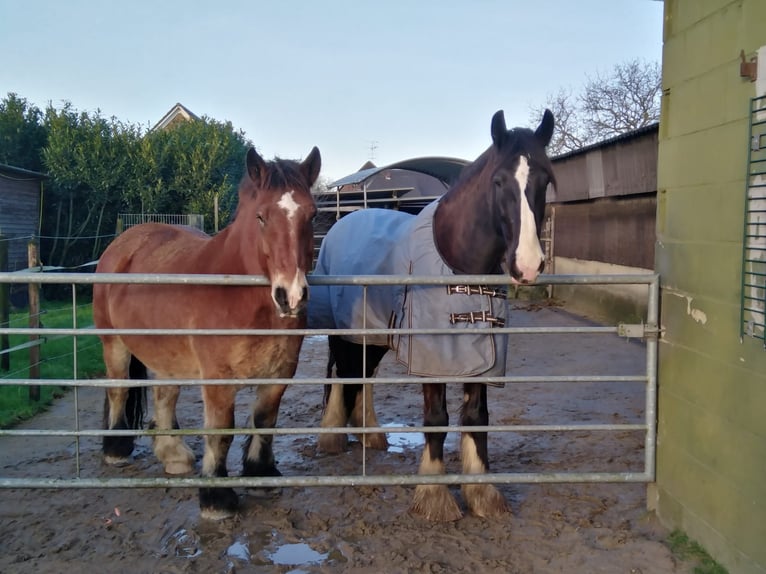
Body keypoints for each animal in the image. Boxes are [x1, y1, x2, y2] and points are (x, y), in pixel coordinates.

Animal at [92, 145, 321, 520]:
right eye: (261, 217)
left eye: (312, 216)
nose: (291, 296)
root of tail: (123, 243)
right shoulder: (217, 378)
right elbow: (221, 432)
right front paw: (216, 498)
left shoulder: (280, 372)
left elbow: (265, 420)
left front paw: (261, 474)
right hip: (114, 345)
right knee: (119, 390)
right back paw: (115, 448)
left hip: (166, 355)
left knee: (164, 395)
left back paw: (173, 454)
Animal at [308, 109, 555, 521]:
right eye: (499, 180)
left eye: (547, 179)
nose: (528, 264)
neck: (455, 261)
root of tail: (340, 225)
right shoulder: (432, 360)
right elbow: (437, 419)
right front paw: (435, 498)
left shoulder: (482, 357)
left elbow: (476, 418)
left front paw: (482, 494)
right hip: (345, 332)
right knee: (344, 374)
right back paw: (332, 440)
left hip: (375, 335)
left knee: (365, 376)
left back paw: (371, 435)